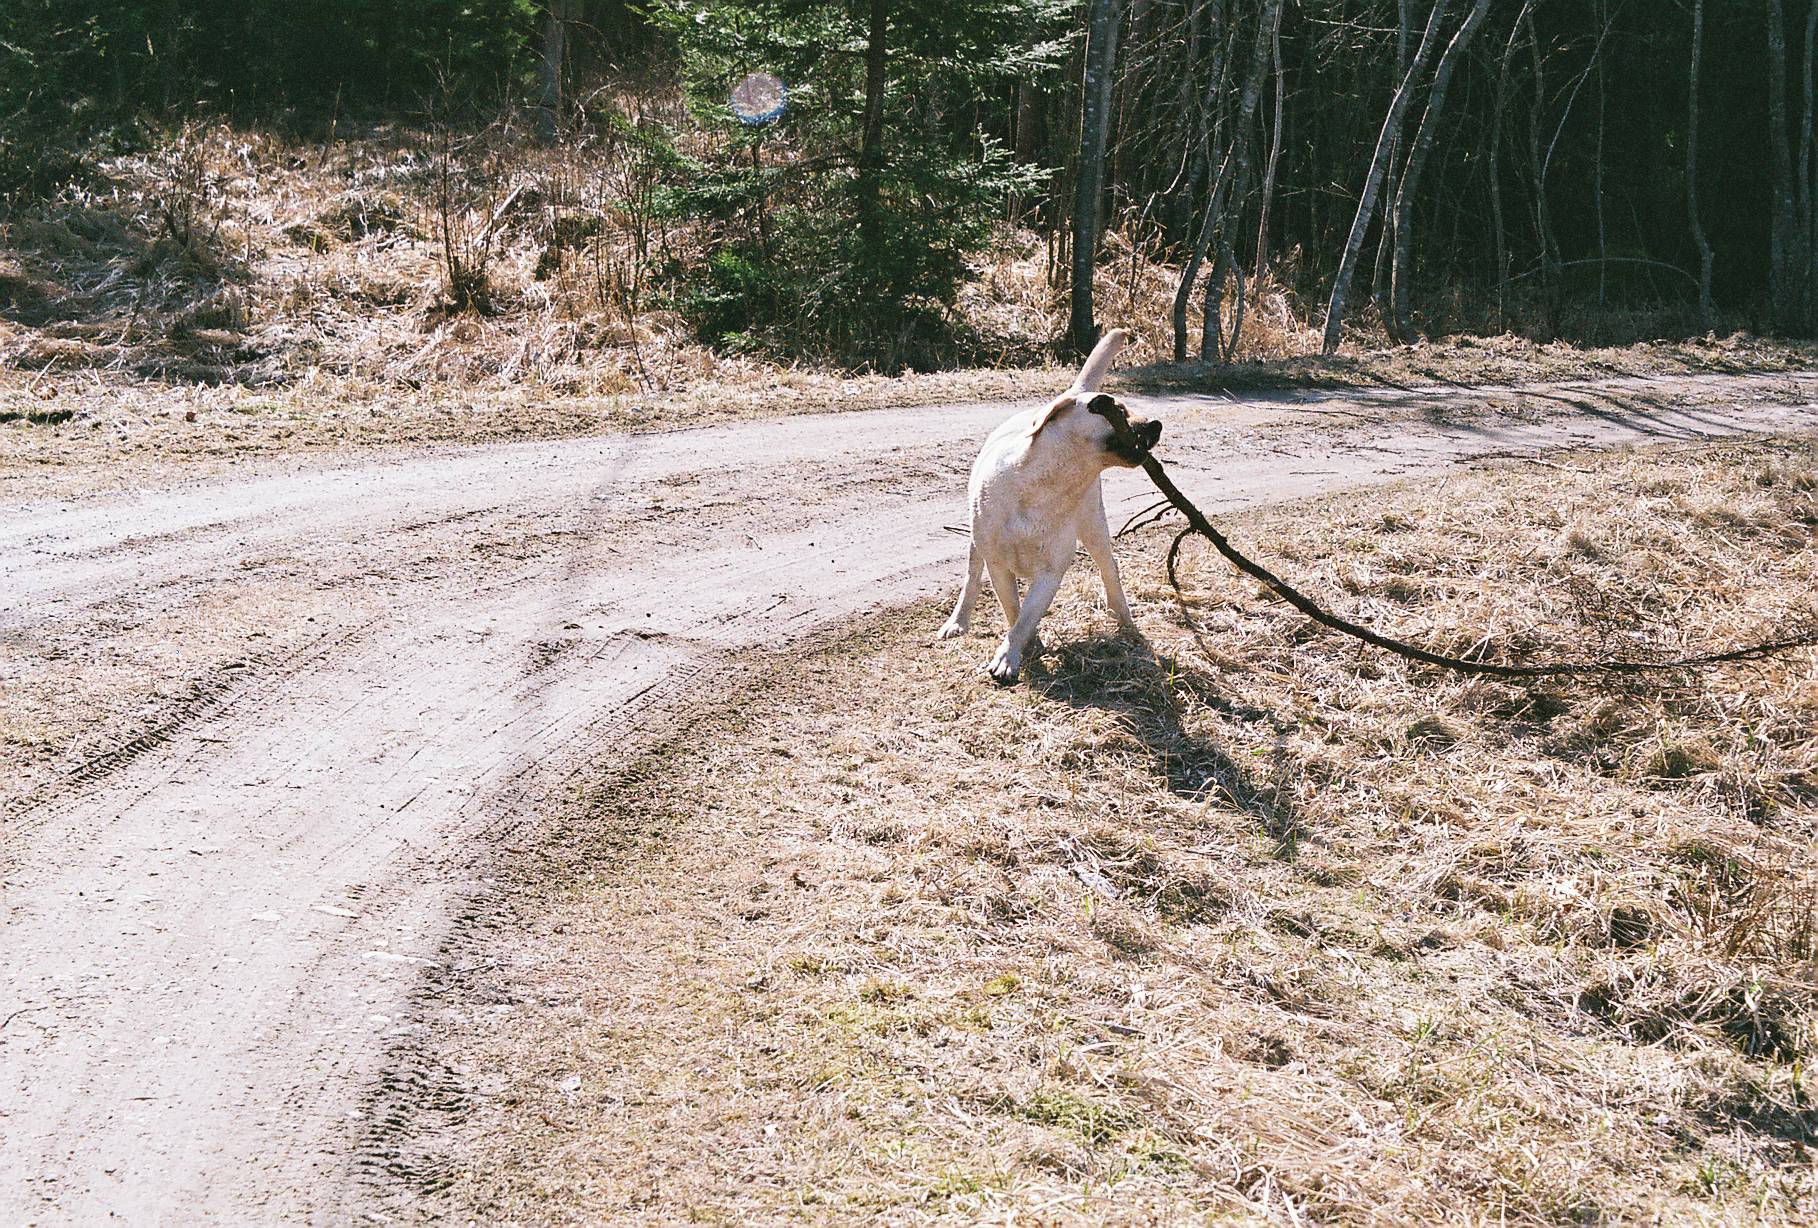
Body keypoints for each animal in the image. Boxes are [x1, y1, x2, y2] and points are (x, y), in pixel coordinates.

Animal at [938, 327, 1161, 683]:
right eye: (1119, 410)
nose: (1156, 425)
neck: (1048, 486)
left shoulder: (1051, 571)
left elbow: (1025, 617)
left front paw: (1010, 655)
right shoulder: (998, 566)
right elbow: (1014, 610)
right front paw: (1027, 646)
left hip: (1094, 526)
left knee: (1109, 569)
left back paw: (1124, 619)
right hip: (975, 541)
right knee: (971, 578)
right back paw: (958, 622)